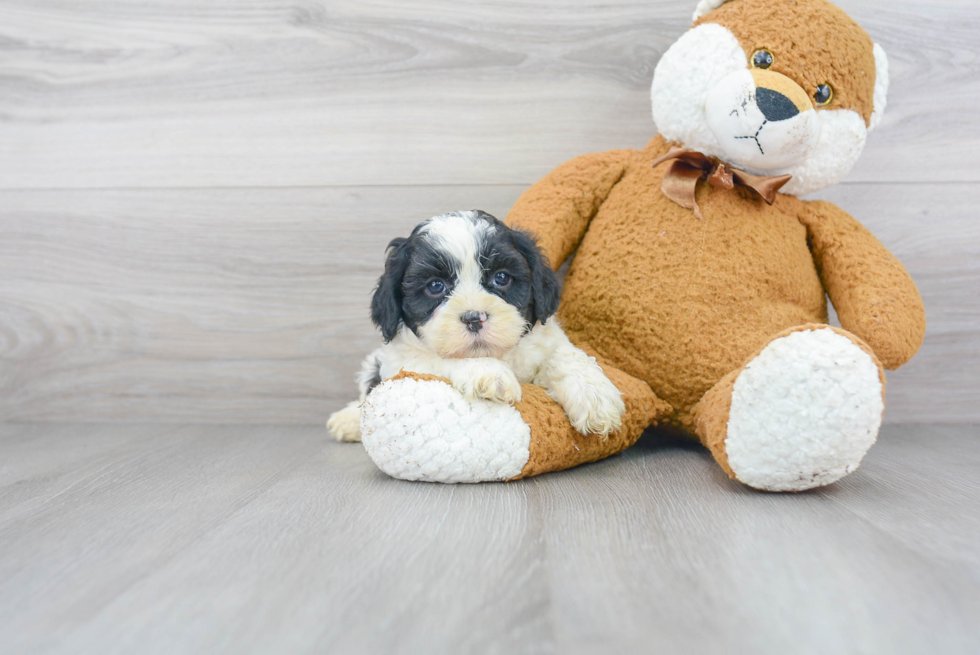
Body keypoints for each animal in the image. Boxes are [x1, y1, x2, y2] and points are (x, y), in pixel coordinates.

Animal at [326, 210, 624, 444]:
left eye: (501, 278)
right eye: (435, 286)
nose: (474, 318)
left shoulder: (546, 339)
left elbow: (565, 355)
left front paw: (595, 397)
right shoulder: (402, 360)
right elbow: (440, 358)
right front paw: (488, 372)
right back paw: (348, 421)